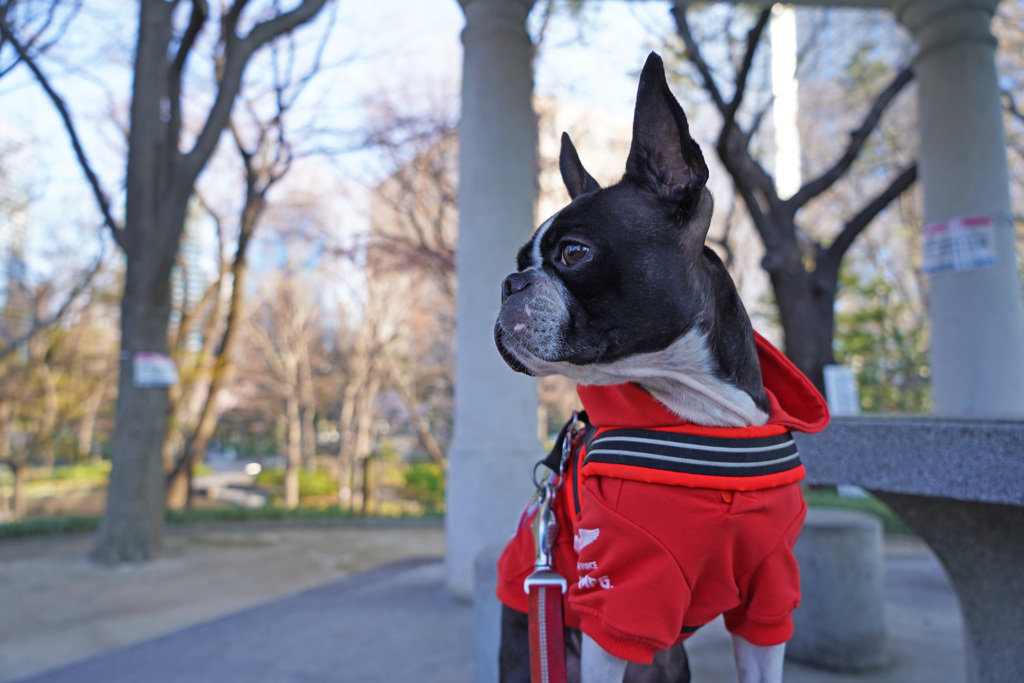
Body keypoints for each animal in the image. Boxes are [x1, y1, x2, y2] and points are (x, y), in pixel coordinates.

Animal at [489, 54, 831, 683]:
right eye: (521, 261)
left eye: (574, 253)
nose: (509, 283)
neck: (702, 414)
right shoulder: (620, 602)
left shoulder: (770, 596)